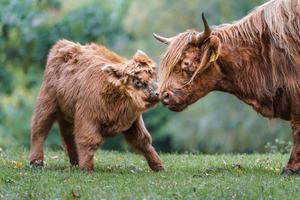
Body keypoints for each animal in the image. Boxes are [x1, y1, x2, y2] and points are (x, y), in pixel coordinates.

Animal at [29, 39, 163, 172]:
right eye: (138, 82)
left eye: (154, 77)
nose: (158, 93)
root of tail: (62, 44)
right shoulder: (87, 118)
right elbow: (89, 141)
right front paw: (87, 168)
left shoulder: (134, 121)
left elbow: (143, 140)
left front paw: (158, 166)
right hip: (46, 103)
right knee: (39, 129)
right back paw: (36, 162)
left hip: (68, 114)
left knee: (68, 135)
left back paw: (75, 162)